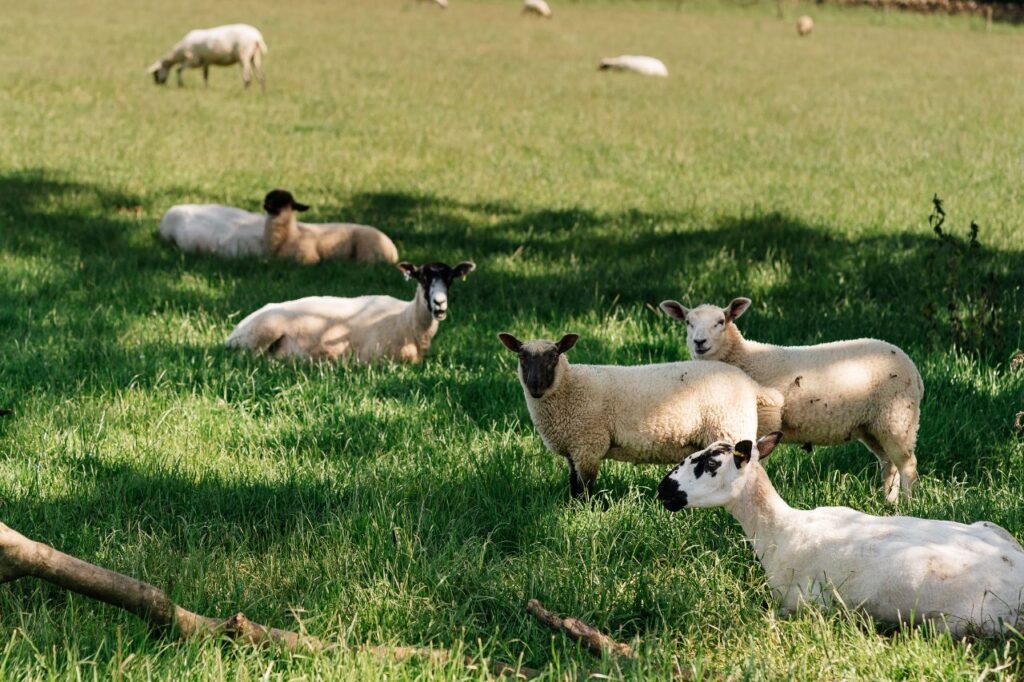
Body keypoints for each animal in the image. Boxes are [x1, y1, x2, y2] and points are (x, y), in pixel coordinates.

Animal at [226, 258, 473, 360]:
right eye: (422, 277)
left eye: (450, 278)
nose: (440, 303)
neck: (407, 320)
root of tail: (235, 330)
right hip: (262, 333)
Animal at [495, 331, 782, 497]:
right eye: (521, 356)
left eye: (554, 356)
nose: (535, 386)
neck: (570, 386)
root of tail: (752, 385)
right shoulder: (573, 449)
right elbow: (573, 484)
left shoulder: (588, 445)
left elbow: (584, 488)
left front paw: (581, 513)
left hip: (730, 428)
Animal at [659, 296, 925, 499]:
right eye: (688, 322)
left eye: (721, 322)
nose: (699, 342)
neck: (743, 357)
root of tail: (913, 369)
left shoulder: (765, 420)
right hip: (872, 425)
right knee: (889, 464)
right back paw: (888, 502)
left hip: (897, 417)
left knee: (907, 466)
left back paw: (909, 504)